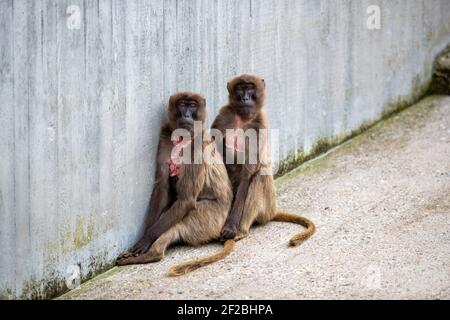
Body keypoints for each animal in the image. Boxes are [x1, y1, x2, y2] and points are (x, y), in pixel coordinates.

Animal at [116, 92, 234, 276]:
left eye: (192, 105)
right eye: (182, 105)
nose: (186, 115)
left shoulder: (198, 147)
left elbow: (186, 200)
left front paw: (146, 239)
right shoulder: (165, 136)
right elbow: (162, 187)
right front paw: (145, 235)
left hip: (210, 219)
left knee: (180, 220)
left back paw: (153, 254)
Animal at [212, 74, 314, 245]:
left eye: (250, 88)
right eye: (240, 88)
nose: (245, 98)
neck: (243, 119)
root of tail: (273, 210)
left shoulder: (259, 125)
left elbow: (247, 176)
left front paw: (230, 227)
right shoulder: (223, 116)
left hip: (266, 206)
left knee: (260, 176)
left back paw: (241, 231)